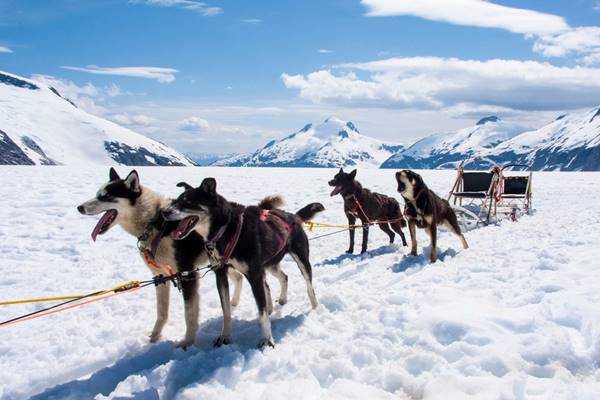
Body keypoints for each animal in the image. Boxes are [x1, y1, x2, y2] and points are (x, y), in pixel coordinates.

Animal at [78, 167, 246, 348]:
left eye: (106, 196)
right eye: (97, 194)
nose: (79, 207)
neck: (156, 223)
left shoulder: (187, 275)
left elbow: (189, 314)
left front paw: (187, 342)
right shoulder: (161, 277)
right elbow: (162, 312)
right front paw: (155, 337)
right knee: (239, 277)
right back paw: (233, 303)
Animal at [163, 177, 324, 346]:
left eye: (188, 201)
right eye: (176, 201)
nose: (164, 212)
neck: (226, 230)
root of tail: (293, 216)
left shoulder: (254, 276)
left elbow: (261, 313)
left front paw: (267, 340)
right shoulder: (221, 274)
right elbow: (226, 310)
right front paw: (225, 336)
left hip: (301, 261)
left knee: (309, 287)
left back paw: (314, 308)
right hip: (269, 265)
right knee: (283, 277)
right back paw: (281, 300)